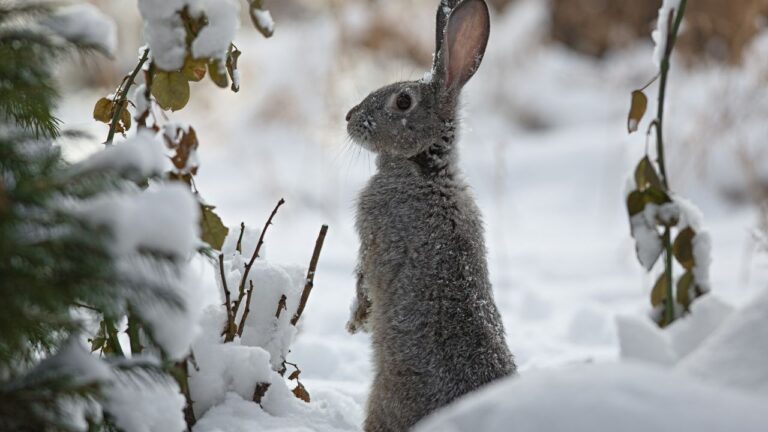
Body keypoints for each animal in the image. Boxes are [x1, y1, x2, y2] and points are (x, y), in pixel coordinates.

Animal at [344, 1, 516, 431]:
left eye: (403, 102)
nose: (349, 117)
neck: (425, 170)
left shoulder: (373, 238)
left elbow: (363, 280)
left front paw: (357, 321)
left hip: (384, 399)